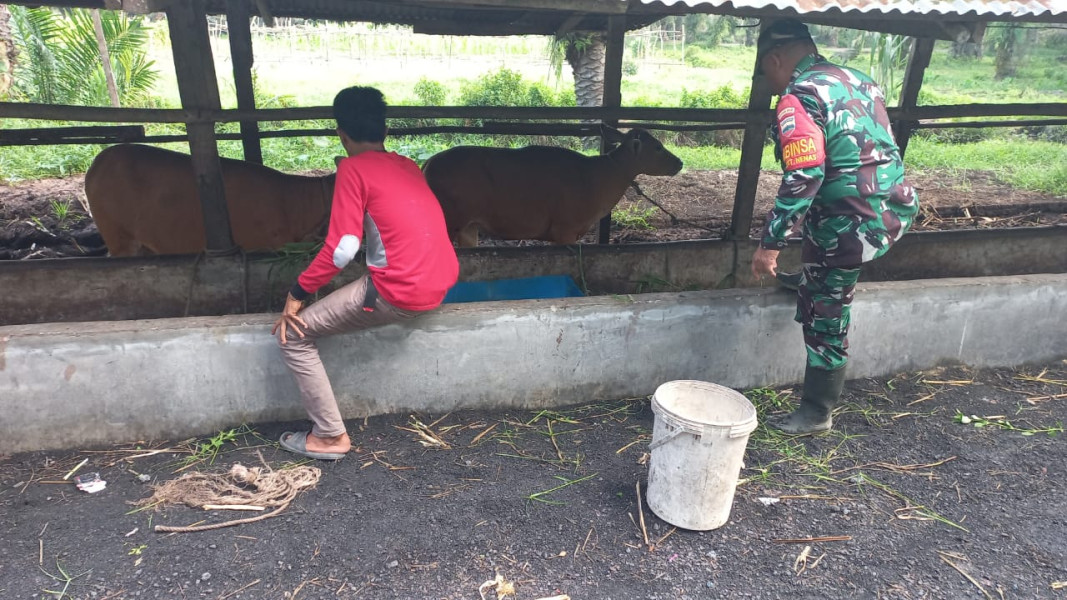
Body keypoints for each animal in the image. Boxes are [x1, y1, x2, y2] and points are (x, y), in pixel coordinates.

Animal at [422, 125, 682, 245]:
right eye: (658, 147)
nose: (679, 162)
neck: (598, 179)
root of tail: (427, 165)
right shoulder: (564, 229)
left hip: (468, 226)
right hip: (449, 221)